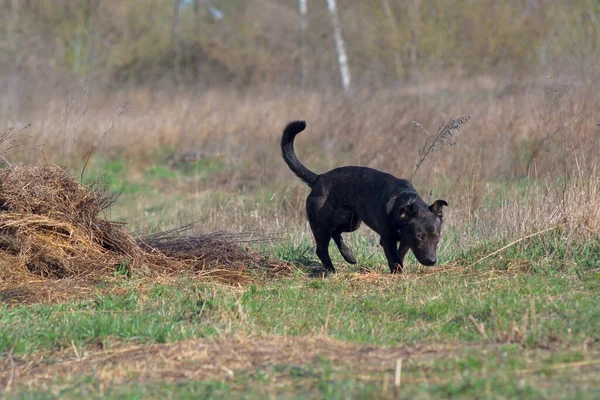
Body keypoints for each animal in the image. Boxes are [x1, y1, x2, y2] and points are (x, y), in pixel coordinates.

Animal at [282, 120, 446, 274]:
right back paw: (331, 270)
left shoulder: (405, 241)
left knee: (336, 232)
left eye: (437, 237)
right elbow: (394, 259)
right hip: (320, 225)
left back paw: (349, 256)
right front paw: (396, 273)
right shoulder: (387, 240)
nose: (432, 261)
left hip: (352, 222)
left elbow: (400, 256)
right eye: (419, 237)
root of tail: (318, 179)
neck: (404, 202)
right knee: (321, 249)